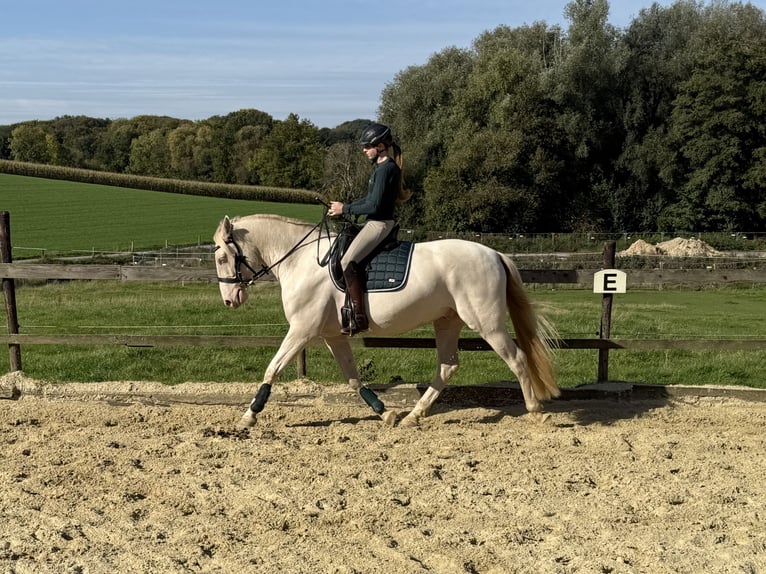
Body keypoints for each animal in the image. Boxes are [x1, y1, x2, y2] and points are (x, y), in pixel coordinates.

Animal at [213, 213, 560, 428]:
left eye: (221, 257)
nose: (230, 300)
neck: (302, 260)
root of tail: (494, 253)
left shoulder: (302, 330)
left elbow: (272, 368)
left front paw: (249, 415)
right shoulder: (332, 336)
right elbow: (353, 379)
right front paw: (385, 413)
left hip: (487, 323)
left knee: (516, 359)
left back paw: (536, 412)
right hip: (447, 321)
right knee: (447, 366)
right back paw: (413, 416)